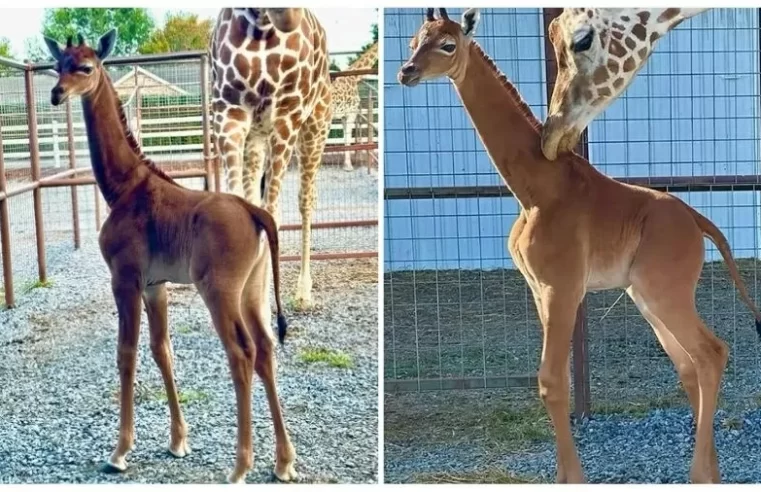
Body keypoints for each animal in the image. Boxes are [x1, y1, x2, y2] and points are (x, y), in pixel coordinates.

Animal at [41, 30, 296, 484]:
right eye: (59, 65)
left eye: (86, 67)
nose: (57, 93)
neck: (123, 187)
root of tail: (256, 212)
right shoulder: (155, 286)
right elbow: (163, 351)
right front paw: (178, 441)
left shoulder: (124, 279)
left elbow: (126, 353)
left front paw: (120, 451)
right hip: (253, 290)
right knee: (266, 349)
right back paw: (284, 463)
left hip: (219, 291)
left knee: (242, 353)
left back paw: (240, 467)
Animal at [209, 7, 332, 308]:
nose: (289, 15)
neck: (262, 26)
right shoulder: (228, 112)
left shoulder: (287, 114)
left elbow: (272, 213)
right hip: (256, 137)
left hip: (315, 128)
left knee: (306, 200)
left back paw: (303, 291)